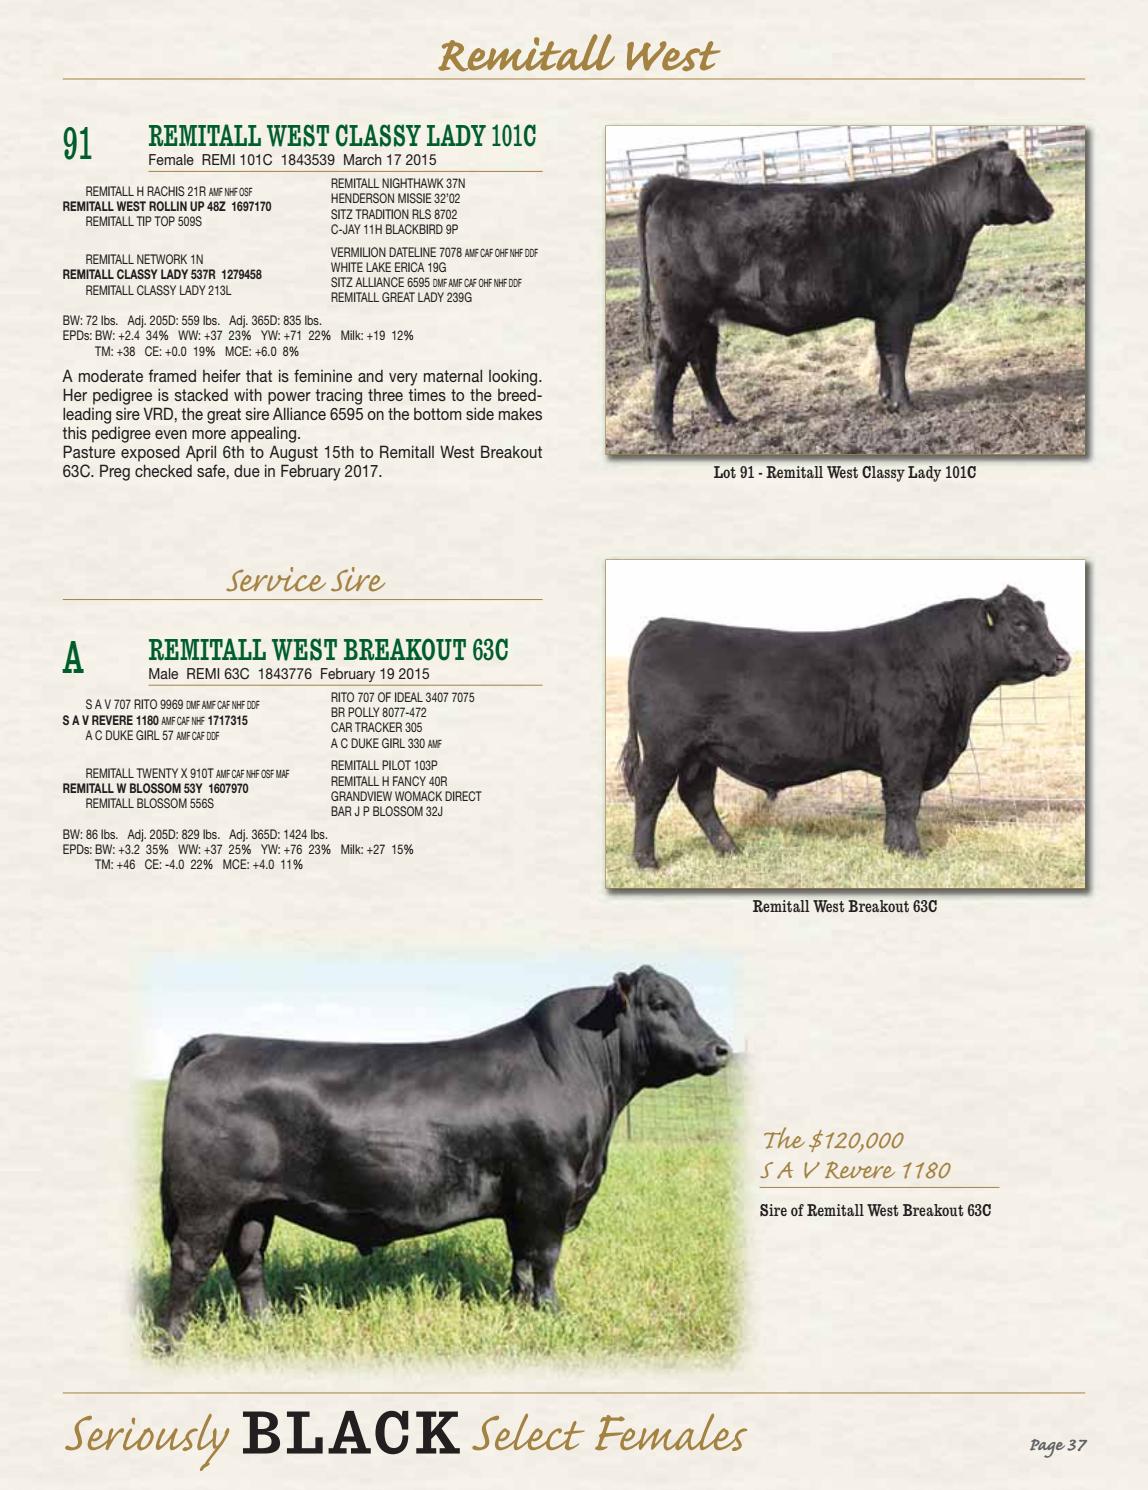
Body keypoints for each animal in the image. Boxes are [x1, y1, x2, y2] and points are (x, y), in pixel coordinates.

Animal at [157, 967, 729, 1341]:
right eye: (661, 1004)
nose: (721, 1048)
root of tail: (218, 1041)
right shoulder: (550, 1188)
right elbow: (545, 1257)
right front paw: (551, 1314)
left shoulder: (525, 1199)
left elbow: (522, 1259)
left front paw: (518, 1308)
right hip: (208, 1201)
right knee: (190, 1261)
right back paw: (170, 1340)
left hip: (254, 1205)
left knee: (247, 1260)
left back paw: (266, 1327)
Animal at [620, 586, 1071, 866]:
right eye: (1020, 624)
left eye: (1043, 621)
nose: (1063, 657)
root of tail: (660, 624)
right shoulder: (909, 746)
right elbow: (907, 800)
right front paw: (914, 853)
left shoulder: (900, 754)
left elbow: (892, 800)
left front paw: (893, 849)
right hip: (666, 747)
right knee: (650, 795)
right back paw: (646, 861)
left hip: (701, 753)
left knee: (697, 796)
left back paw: (729, 849)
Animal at [636, 143, 1054, 444]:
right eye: (1017, 172)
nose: (1048, 207)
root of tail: (672, 183)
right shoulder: (901, 303)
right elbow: (897, 353)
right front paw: (904, 404)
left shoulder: (886, 310)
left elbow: (884, 353)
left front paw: (885, 399)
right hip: (682, 312)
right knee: (669, 363)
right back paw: (665, 433)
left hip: (706, 317)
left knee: (703, 362)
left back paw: (727, 418)